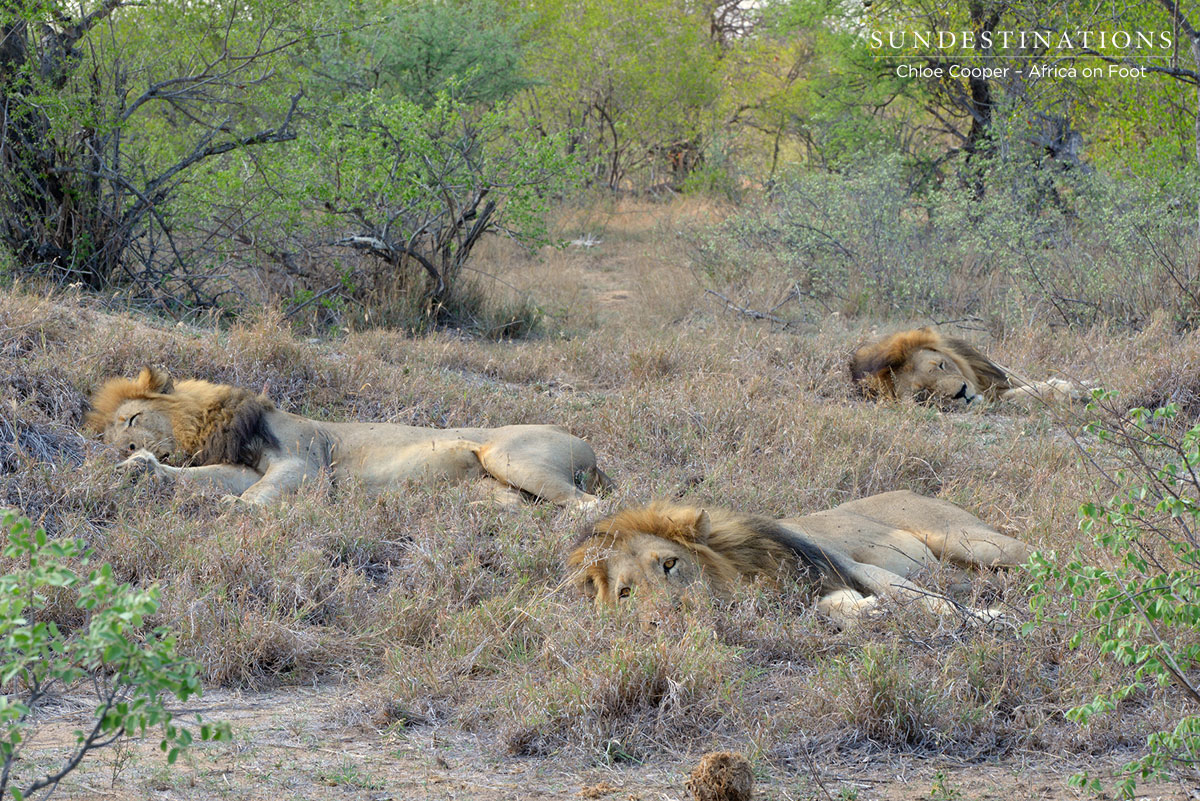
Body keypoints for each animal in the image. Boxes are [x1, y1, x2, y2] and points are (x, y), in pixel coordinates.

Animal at [86, 366, 612, 507]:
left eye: (132, 419)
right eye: (110, 440)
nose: (126, 448)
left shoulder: (305, 463)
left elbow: (256, 496)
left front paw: (231, 511)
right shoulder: (240, 468)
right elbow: (207, 479)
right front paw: (141, 471)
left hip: (508, 456)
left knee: (588, 507)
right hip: (496, 490)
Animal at [568, 490, 1031, 628]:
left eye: (669, 564)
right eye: (626, 594)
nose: (663, 620)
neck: (744, 570)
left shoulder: (843, 562)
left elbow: (920, 598)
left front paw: (991, 620)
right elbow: (834, 608)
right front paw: (867, 611)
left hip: (971, 540)